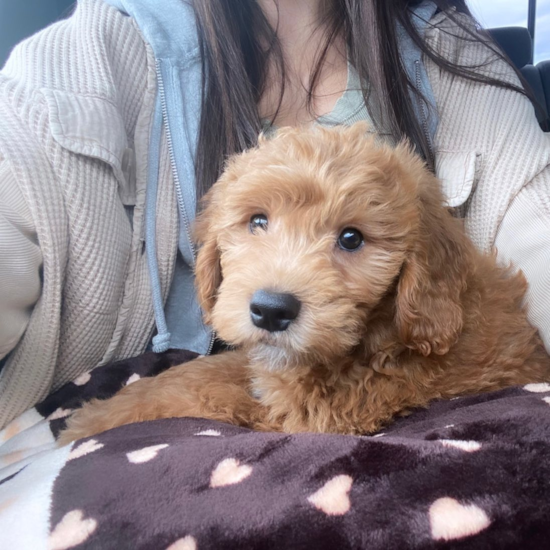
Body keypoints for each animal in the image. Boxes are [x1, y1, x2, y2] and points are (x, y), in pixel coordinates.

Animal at [58, 123, 548, 446]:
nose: (271, 310)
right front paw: (112, 404)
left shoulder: (319, 414)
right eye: (258, 221)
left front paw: (97, 419)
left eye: (351, 238)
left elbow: (201, 392)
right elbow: (207, 371)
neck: (381, 329)